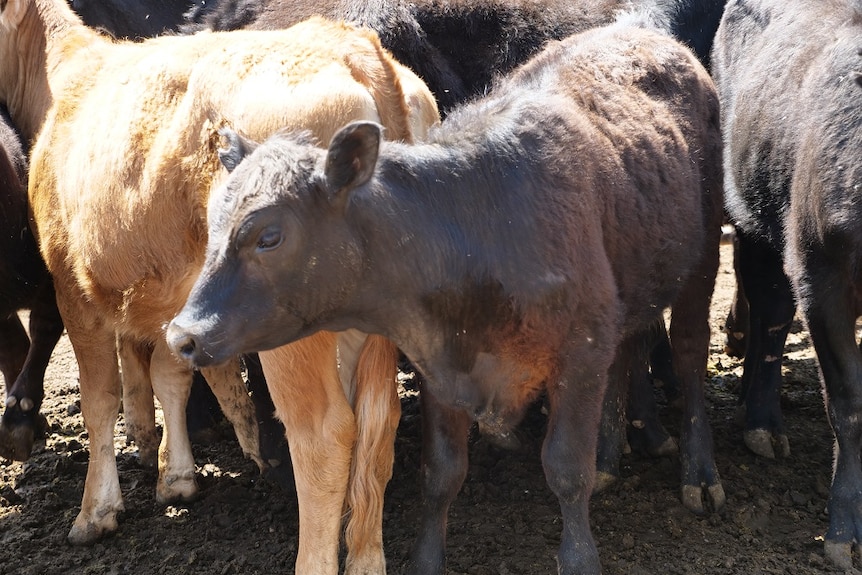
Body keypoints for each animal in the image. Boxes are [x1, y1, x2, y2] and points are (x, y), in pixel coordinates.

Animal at [0, 2, 438, 572]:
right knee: (377, 425)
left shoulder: (74, 288)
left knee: (323, 435)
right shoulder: (178, 300)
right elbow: (170, 376)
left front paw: (96, 511)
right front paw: (177, 478)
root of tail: (352, 47)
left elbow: (100, 400)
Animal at [165, 20, 724, 572]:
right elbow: (441, 473)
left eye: (269, 236)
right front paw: (426, 560)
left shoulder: (580, 354)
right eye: (212, 224)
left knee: (690, 352)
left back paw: (699, 472)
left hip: (702, 260)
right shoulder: (438, 364)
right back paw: (610, 455)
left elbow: (566, 469)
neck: (479, 230)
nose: (181, 335)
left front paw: (580, 558)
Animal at [716, 0, 862, 568]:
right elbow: (849, 405)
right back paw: (761, 421)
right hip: (756, 219)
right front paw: (845, 529)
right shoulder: (822, 278)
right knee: (773, 312)